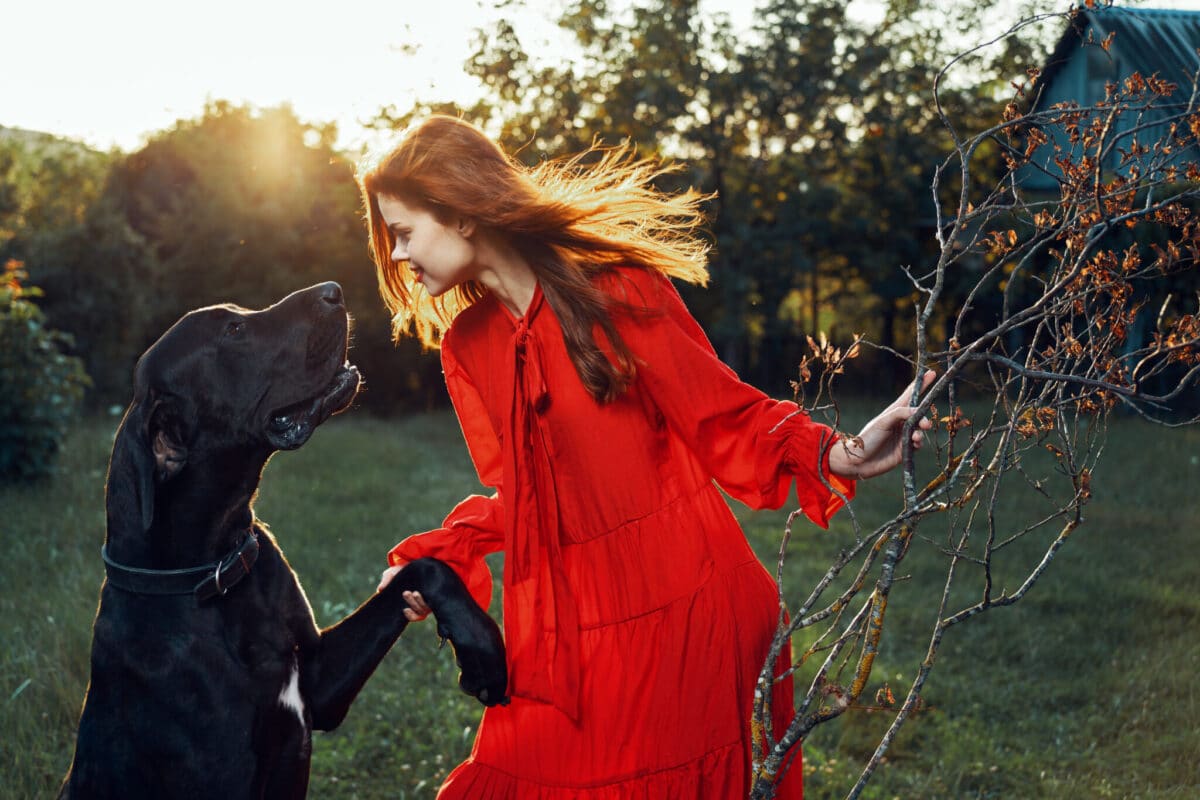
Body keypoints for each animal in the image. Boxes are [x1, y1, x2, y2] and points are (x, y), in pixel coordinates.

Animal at [58, 284, 506, 800]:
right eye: (234, 330)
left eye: (238, 314)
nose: (334, 291)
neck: (218, 571)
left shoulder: (318, 682)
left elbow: (425, 568)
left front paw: (482, 648)